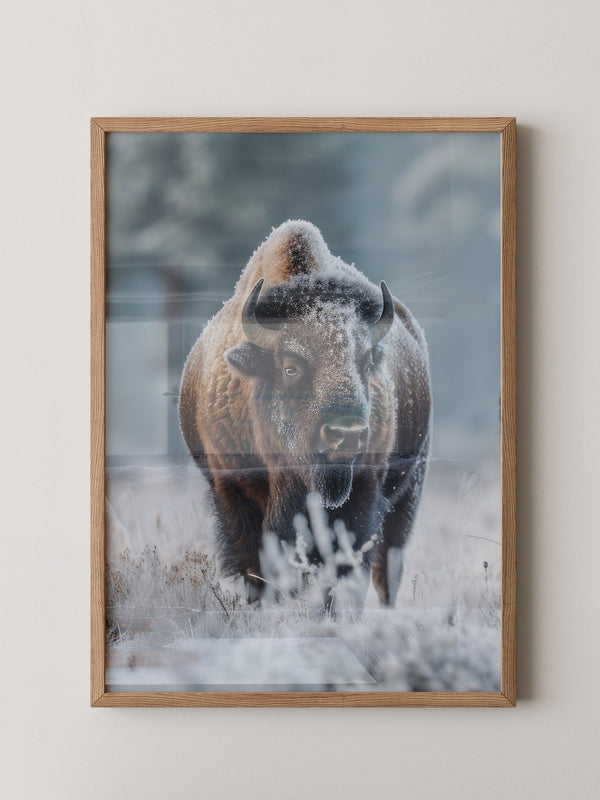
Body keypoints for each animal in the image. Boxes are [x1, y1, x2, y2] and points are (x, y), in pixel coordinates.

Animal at [179, 220, 432, 608]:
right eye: (291, 368)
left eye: (366, 363)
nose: (347, 434)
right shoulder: (234, 492)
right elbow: (257, 569)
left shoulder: (363, 492)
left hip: (408, 492)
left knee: (387, 569)